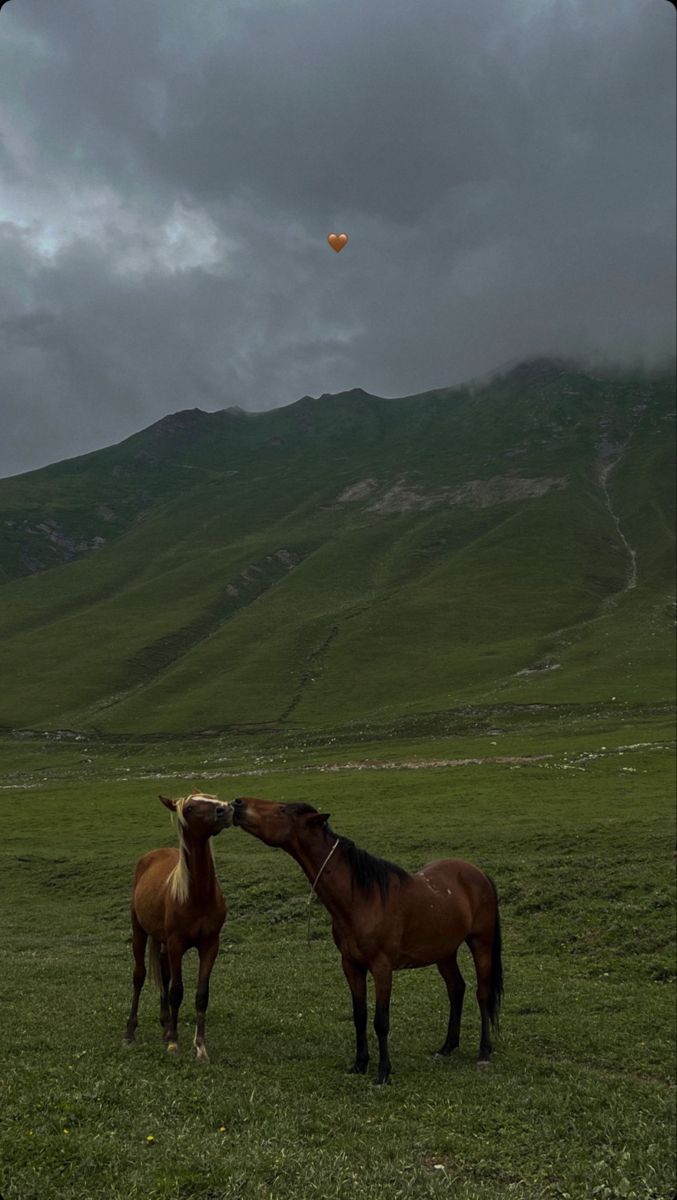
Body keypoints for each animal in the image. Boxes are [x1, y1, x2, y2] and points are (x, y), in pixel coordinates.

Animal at [123, 796, 232, 1060]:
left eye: (213, 797)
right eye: (190, 808)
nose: (224, 809)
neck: (197, 895)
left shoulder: (211, 944)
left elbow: (201, 995)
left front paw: (200, 1046)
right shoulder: (176, 943)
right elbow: (177, 991)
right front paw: (173, 1042)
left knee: (163, 973)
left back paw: (165, 1024)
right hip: (140, 932)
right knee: (139, 976)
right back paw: (130, 1032)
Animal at [232, 796, 501, 1089]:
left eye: (282, 809)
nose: (237, 803)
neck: (362, 897)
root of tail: (479, 874)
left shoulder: (382, 968)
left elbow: (381, 1021)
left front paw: (383, 1072)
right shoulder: (351, 965)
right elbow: (359, 1015)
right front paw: (360, 1064)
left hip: (481, 943)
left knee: (482, 992)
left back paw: (484, 1051)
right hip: (444, 951)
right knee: (456, 989)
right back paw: (447, 1047)